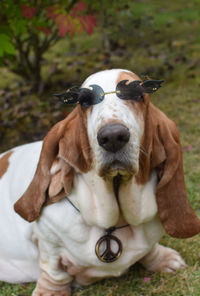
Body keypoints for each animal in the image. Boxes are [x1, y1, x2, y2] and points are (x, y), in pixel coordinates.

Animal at [1, 69, 200, 296]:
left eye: (139, 96)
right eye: (83, 102)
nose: (113, 136)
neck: (113, 224)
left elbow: (150, 248)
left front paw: (163, 259)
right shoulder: (47, 239)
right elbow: (54, 271)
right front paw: (50, 291)